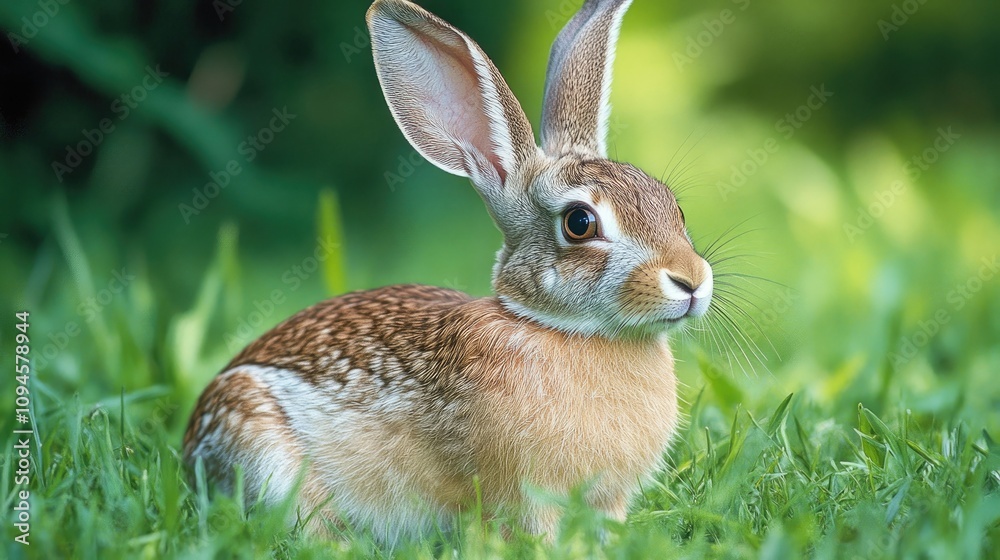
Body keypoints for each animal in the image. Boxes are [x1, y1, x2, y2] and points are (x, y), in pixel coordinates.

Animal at [183, 0, 714, 544]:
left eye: (673, 206)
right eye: (579, 223)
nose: (691, 281)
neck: (560, 329)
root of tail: (193, 435)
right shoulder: (524, 494)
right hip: (262, 445)